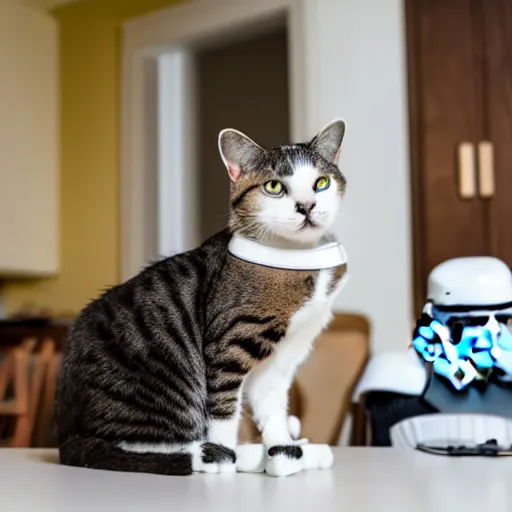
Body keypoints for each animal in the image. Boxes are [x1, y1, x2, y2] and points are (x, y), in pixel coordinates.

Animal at [56, 118, 348, 478]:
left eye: (321, 183)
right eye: (274, 187)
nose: (307, 206)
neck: (297, 260)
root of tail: (68, 435)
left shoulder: (284, 355)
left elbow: (272, 407)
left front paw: (283, 452)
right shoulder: (230, 342)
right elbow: (223, 409)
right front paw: (227, 454)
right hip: (151, 394)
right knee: (145, 443)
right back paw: (220, 456)